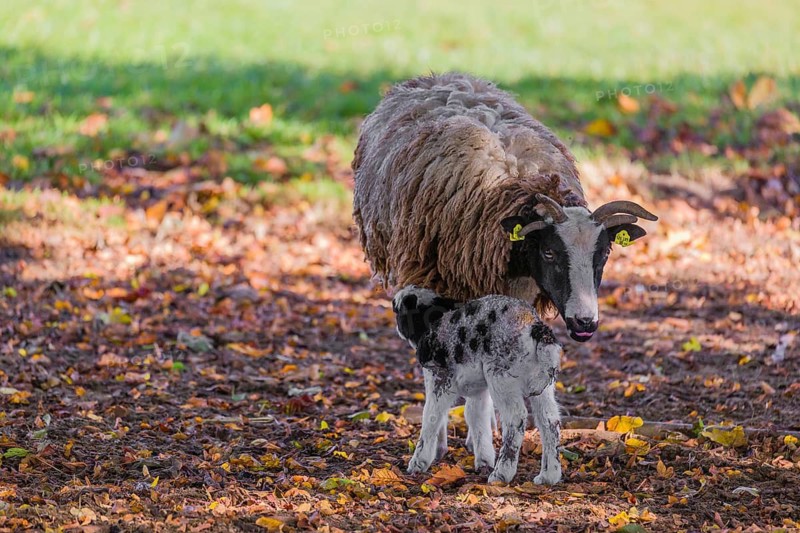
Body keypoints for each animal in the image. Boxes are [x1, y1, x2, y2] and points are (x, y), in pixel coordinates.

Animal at [393, 285, 563, 485]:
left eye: (398, 310)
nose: (397, 326)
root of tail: (535, 328)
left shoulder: (439, 379)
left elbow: (431, 417)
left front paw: (418, 463)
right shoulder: (478, 391)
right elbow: (476, 417)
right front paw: (484, 460)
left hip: (500, 376)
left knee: (516, 418)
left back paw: (501, 474)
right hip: (542, 385)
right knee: (549, 420)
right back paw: (548, 475)